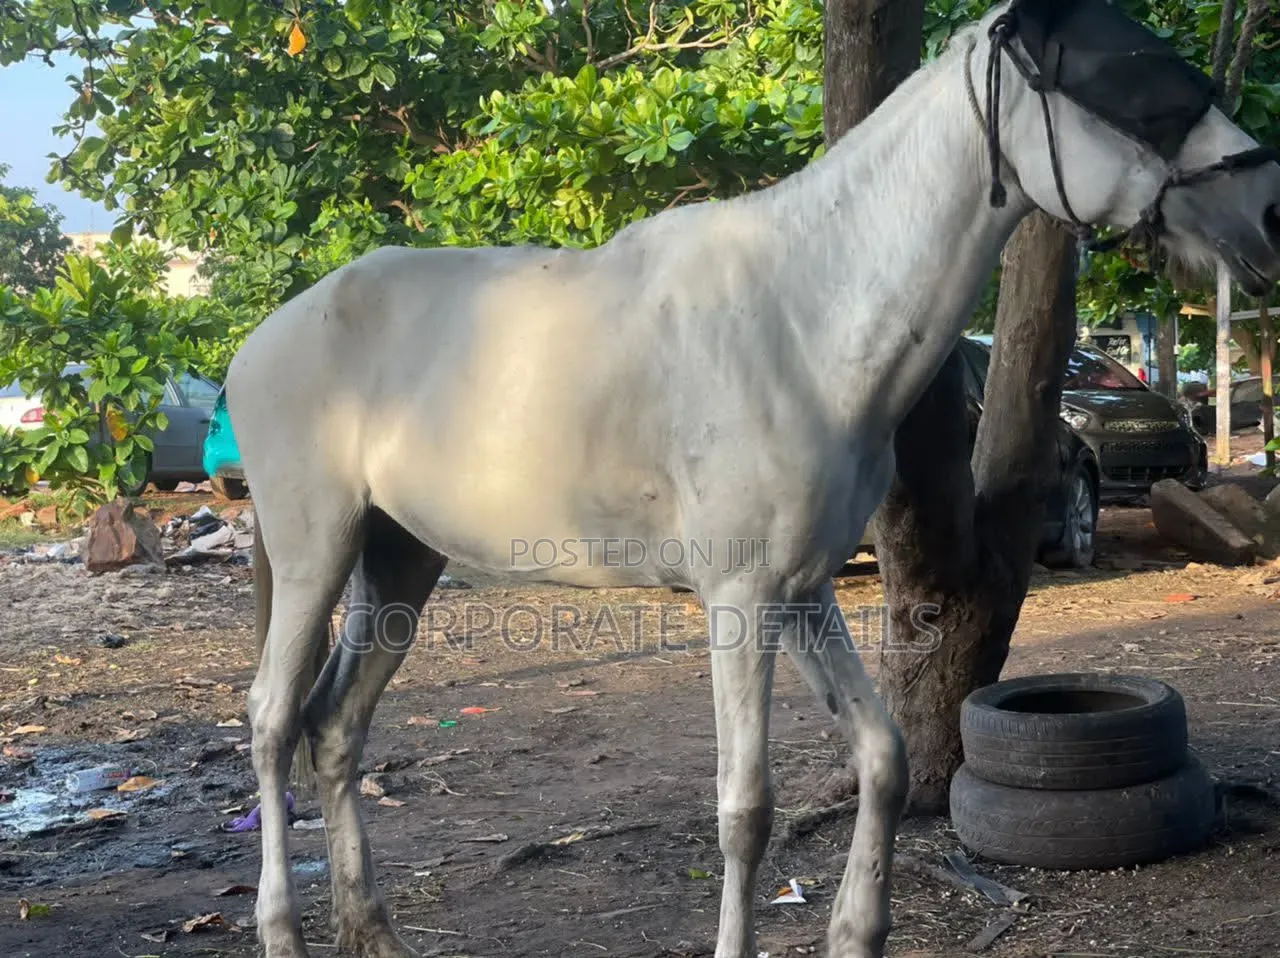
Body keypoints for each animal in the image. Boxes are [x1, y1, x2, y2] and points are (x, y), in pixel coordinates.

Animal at [226, 1, 1280, 955]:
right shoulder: (739, 599)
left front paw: (858, 933)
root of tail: (263, 339)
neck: (805, 314)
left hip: (400, 560)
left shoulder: (804, 591)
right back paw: (283, 930)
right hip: (317, 549)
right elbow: (746, 810)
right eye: (1140, 82)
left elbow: (884, 758)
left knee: (336, 729)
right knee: (274, 723)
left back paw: (372, 933)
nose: (1265, 211)